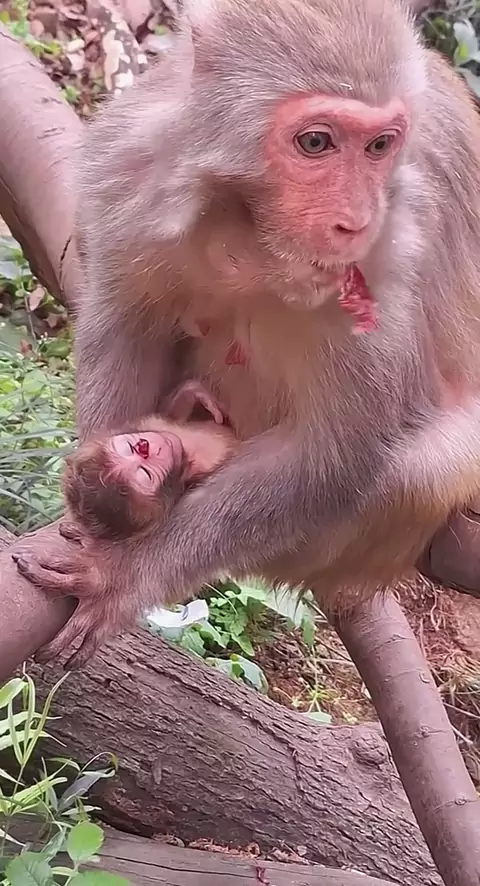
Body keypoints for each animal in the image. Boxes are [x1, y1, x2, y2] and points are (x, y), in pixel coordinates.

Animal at [13, 0, 480, 668]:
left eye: (381, 146)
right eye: (316, 142)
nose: (357, 222)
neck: (248, 230)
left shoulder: (395, 251)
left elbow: (336, 453)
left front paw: (127, 569)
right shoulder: (129, 168)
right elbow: (123, 323)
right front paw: (102, 499)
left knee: (415, 468)